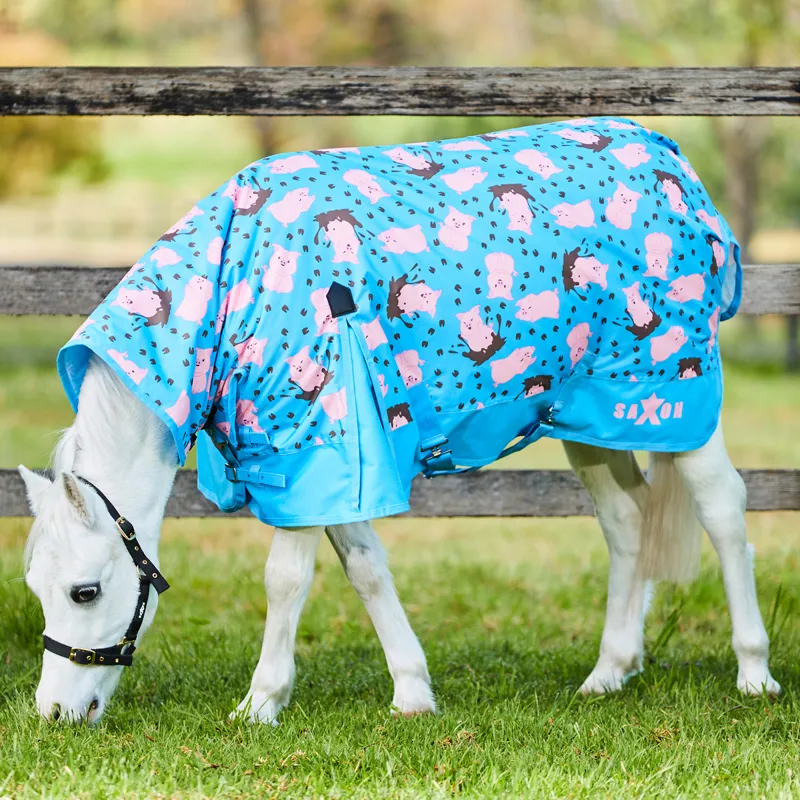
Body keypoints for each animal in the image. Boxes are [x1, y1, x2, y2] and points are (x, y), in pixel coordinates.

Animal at [18, 116, 779, 724]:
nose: (54, 711)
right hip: (592, 415)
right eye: (35, 588)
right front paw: (412, 692)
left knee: (723, 510)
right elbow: (366, 569)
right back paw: (610, 671)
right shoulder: (335, 458)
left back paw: (754, 672)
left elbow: (285, 579)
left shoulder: (307, 442)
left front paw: (259, 704)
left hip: (679, 398)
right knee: (627, 524)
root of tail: (671, 159)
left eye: (84, 591)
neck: (236, 290)